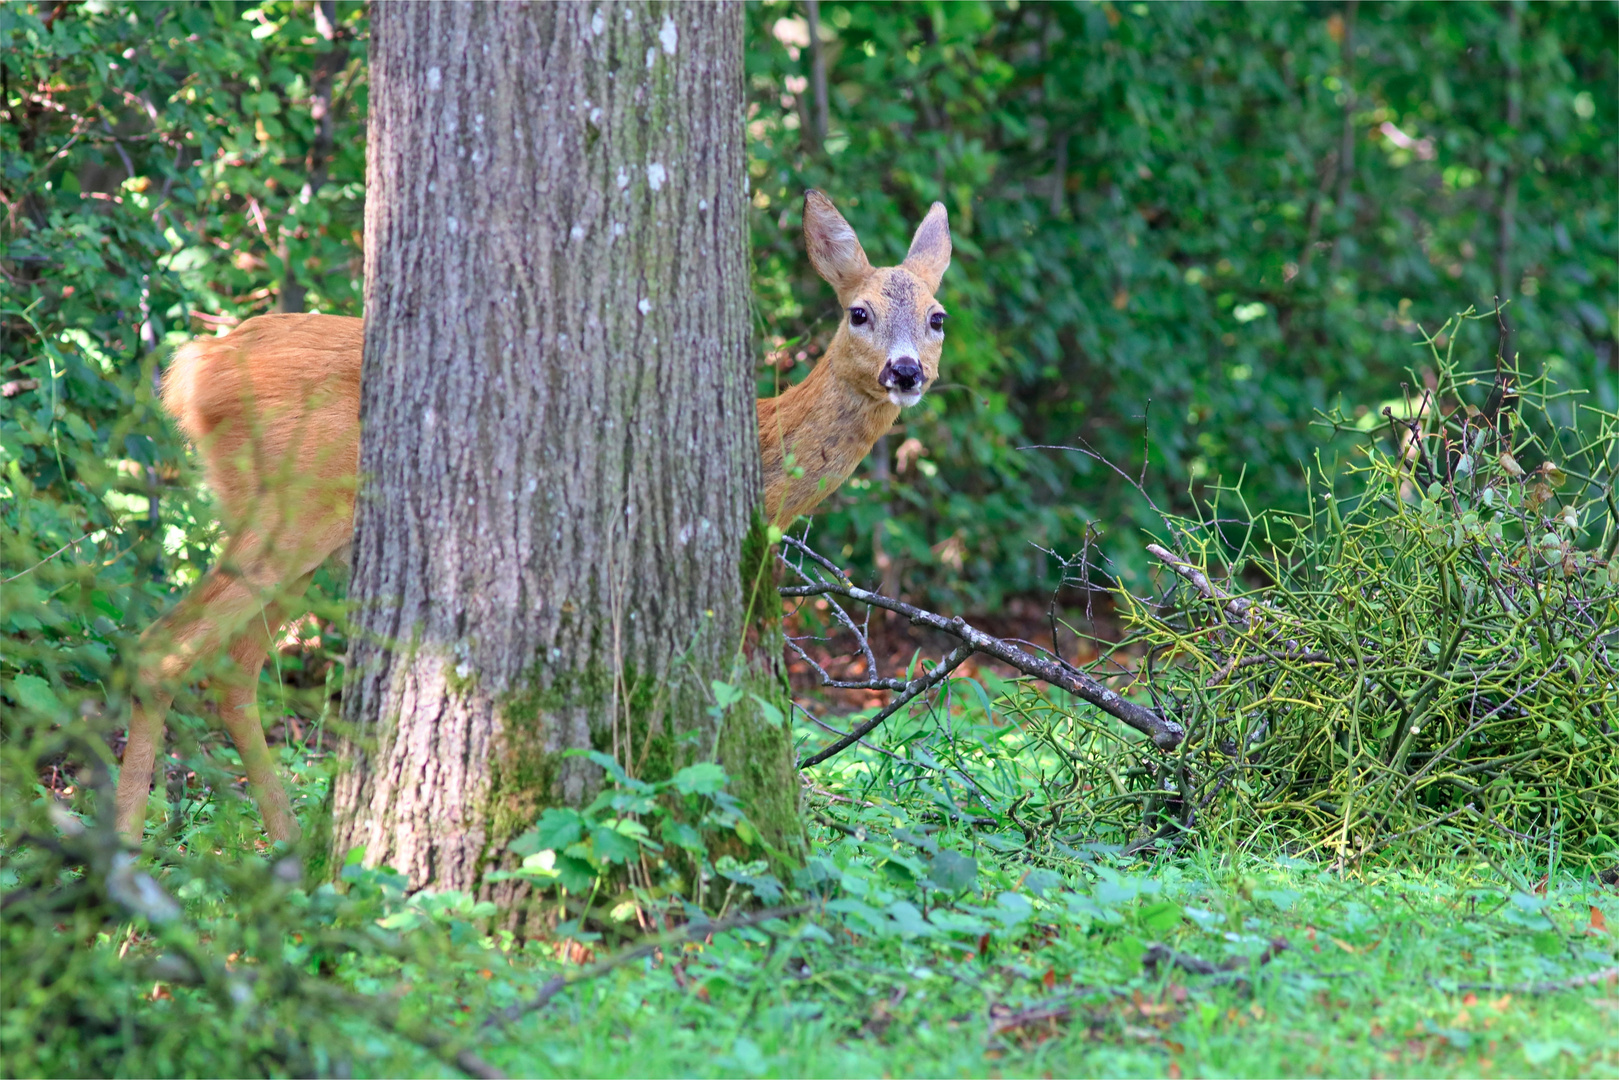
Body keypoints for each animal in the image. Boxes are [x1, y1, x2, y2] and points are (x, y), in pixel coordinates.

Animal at [119, 191, 951, 841]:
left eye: (937, 317)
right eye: (858, 312)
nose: (904, 371)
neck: (762, 437)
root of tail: (192, 371)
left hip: (308, 538)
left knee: (232, 667)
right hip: (288, 510)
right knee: (163, 648)